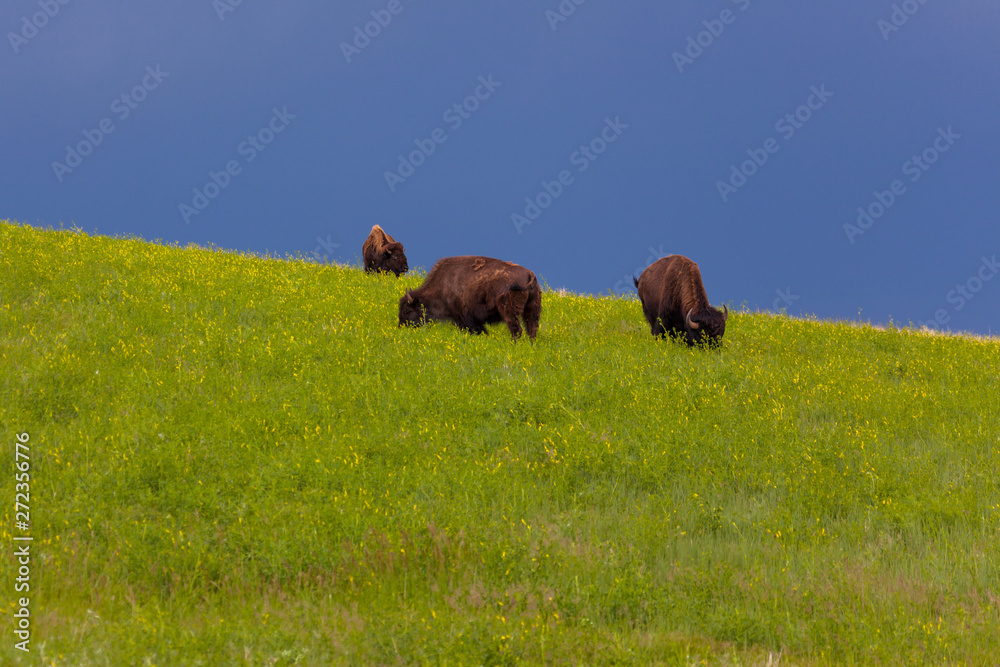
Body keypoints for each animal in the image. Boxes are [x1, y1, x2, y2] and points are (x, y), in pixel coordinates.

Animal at [398, 254, 544, 342]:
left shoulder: (465, 317)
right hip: (532, 310)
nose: (401, 327)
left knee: (516, 329)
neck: (442, 285)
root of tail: (530, 275)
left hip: (510, 311)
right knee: (531, 330)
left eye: (406, 310)